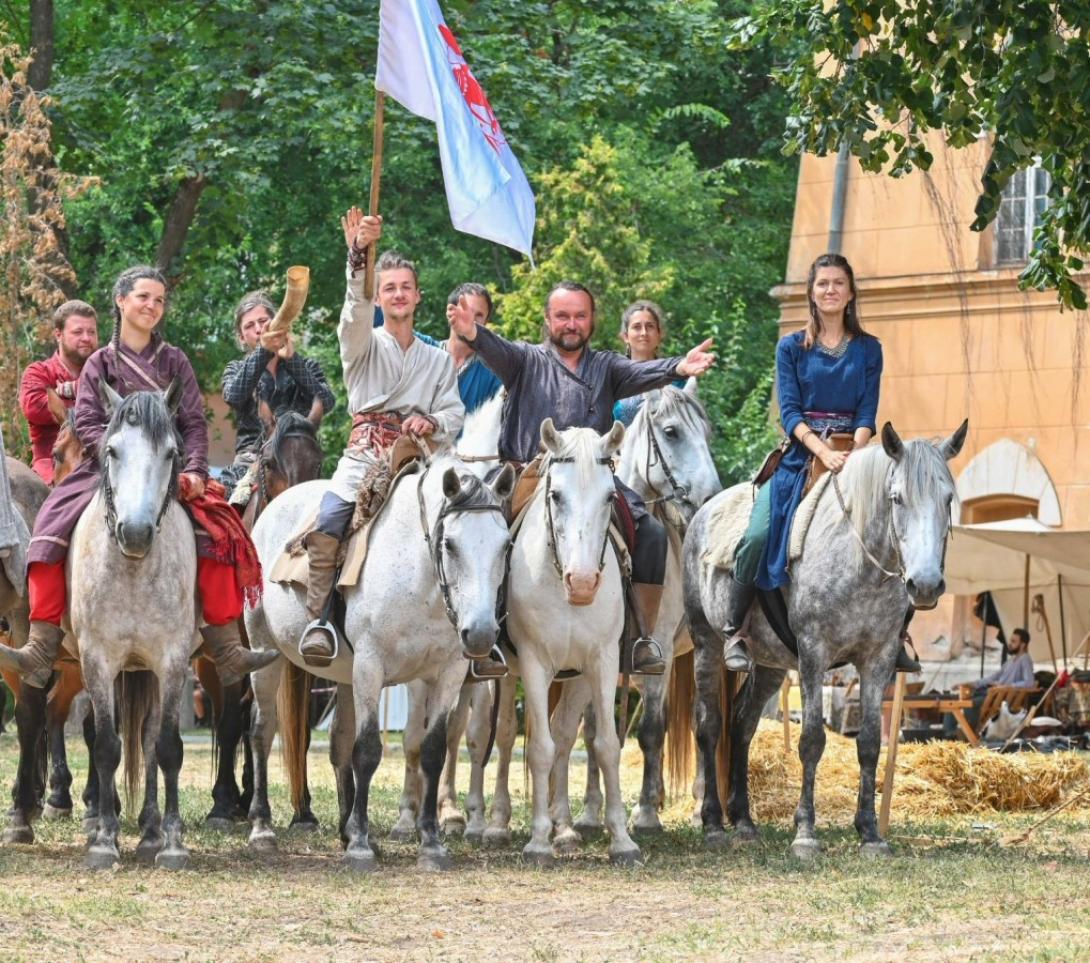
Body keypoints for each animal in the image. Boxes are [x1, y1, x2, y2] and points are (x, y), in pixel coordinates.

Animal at [69, 386, 201, 872]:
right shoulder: (97, 660)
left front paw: (172, 841)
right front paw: (105, 841)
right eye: (112, 451)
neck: (131, 571)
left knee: (146, 741)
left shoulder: (173, 661)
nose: (137, 533)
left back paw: (149, 830)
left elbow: (166, 746)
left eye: (171, 453)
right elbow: (108, 745)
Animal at [246, 455, 514, 868]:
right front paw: (360, 847)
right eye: (450, 544)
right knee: (262, 730)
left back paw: (345, 831)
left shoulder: (448, 673)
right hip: (264, 651)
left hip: (343, 675)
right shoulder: (371, 667)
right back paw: (263, 830)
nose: (482, 634)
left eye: (505, 545)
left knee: (339, 740)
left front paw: (430, 843)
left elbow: (432, 751)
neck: (419, 576)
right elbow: (369, 749)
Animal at [680, 420, 963, 859]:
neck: (859, 561)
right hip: (706, 642)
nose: (926, 584)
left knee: (743, 723)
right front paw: (805, 832)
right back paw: (712, 822)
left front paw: (870, 832)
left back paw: (743, 820)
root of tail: (703, 513)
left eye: (947, 498)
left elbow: (869, 742)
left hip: (770, 665)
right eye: (896, 498)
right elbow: (811, 740)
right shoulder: (814, 654)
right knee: (710, 724)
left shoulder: (878, 659)